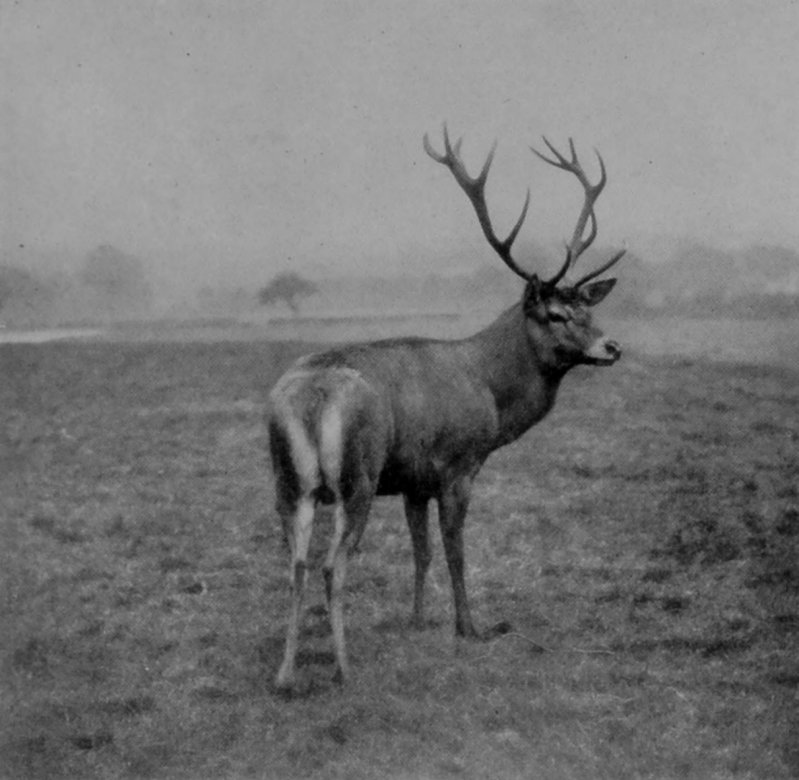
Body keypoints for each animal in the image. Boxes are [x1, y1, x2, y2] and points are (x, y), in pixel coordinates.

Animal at [268, 125, 626, 690]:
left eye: (588, 308)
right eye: (554, 314)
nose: (612, 347)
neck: (490, 391)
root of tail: (313, 397)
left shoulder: (414, 478)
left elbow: (422, 550)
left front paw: (418, 619)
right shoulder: (459, 463)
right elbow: (455, 549)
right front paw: (470, 626)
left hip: (289, 483)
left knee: (297, 566)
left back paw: (286, 674)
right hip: (356, 476)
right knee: (331, 566)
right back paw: (344, 669)